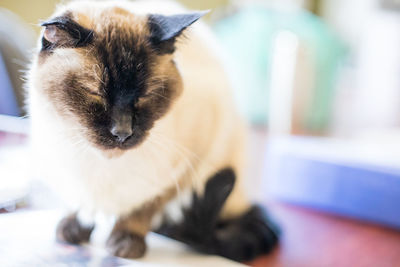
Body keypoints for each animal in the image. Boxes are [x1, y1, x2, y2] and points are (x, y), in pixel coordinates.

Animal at [27, 0, 278, 262]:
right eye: (94, 92)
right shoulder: (67, 173)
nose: (122, 132)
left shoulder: (181, 170)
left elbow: (141, 211)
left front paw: (125, 244)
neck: (103, 164)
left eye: (145, 95)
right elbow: (78, 202)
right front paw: (72, 229)